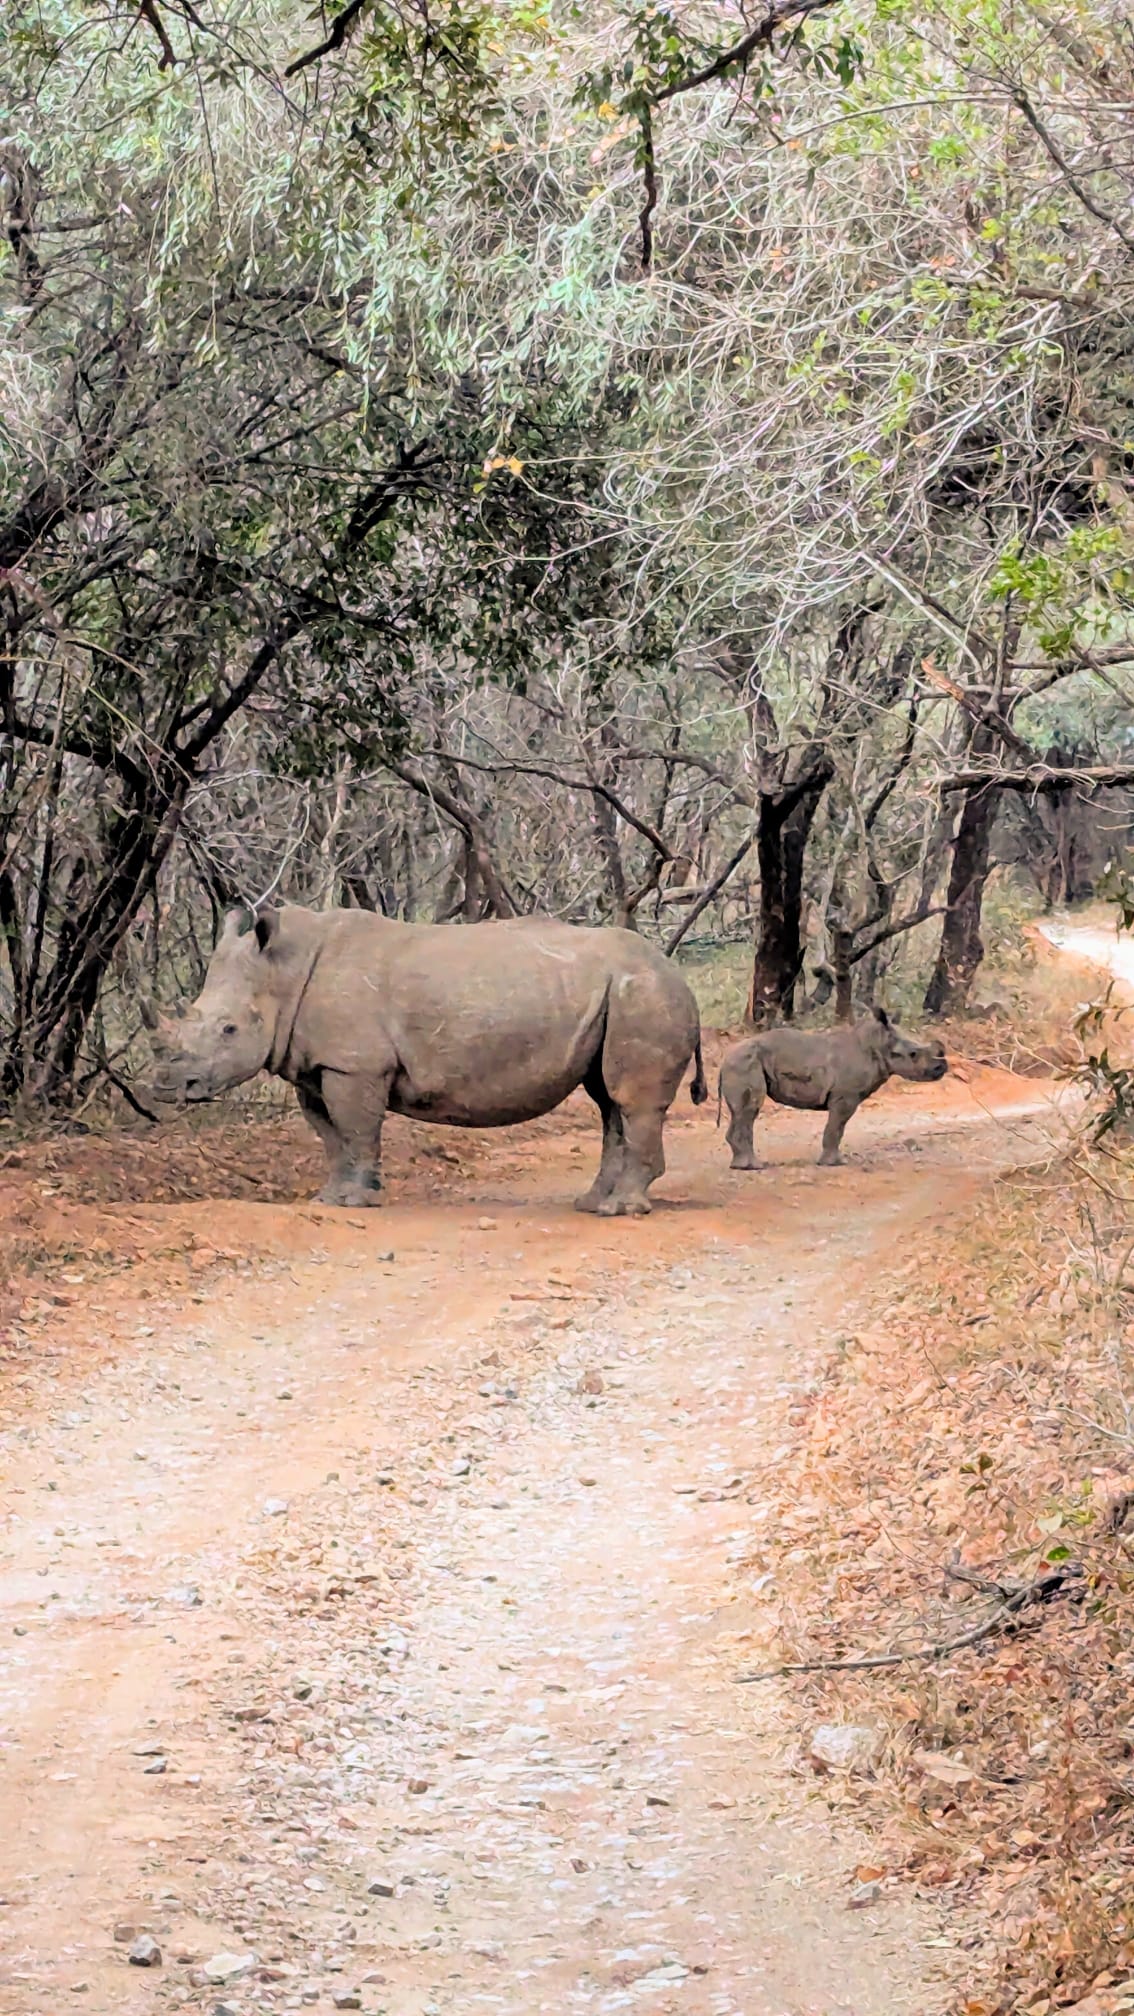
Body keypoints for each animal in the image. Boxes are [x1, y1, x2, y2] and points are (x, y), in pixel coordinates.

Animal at [149, 905, 707, 1217]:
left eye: (229, 1029)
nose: (172, 1086)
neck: (282, 972)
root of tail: (676, 972)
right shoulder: (314, 1065)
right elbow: (329, 1137)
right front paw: (329, 1199)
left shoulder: (354, 1065)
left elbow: (355, 1131)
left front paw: (359, 1201)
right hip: (619, 996)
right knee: (607, 1100)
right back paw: (593, 1205)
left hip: (643, 994)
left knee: (629, 1101)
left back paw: (621, 1210)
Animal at [718, 1007, 948, 1169]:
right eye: (913, 1055)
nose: (942, 1068)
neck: (877, 1044)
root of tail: (723, 1061)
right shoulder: (846, 1095)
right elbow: (836, 1127)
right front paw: (835, 1163)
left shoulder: (846, 1095)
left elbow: (838, 1128)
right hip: (745, 1064)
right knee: (749, 1110)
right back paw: (753, 1167)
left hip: (742, 1063)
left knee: (741, 1112)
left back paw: (741, 1165)